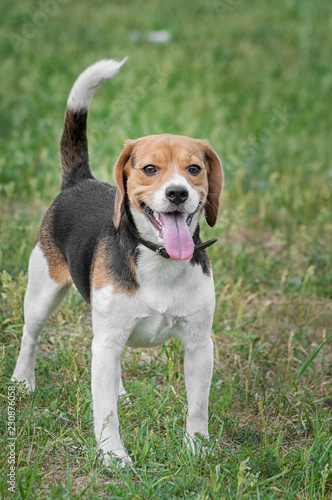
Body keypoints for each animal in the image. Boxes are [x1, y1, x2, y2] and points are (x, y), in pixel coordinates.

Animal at [11, 57, 223, 464]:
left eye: (195, 169)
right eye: (150, 169)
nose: (178, 193)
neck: (159, 259)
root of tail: (79, 180)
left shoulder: (199, 344)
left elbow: (198, 406)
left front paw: (198, 449)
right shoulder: (105, 342)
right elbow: (106, 410)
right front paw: (113, 457)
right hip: (42, 291)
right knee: (30, 335)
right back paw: (22, 380)